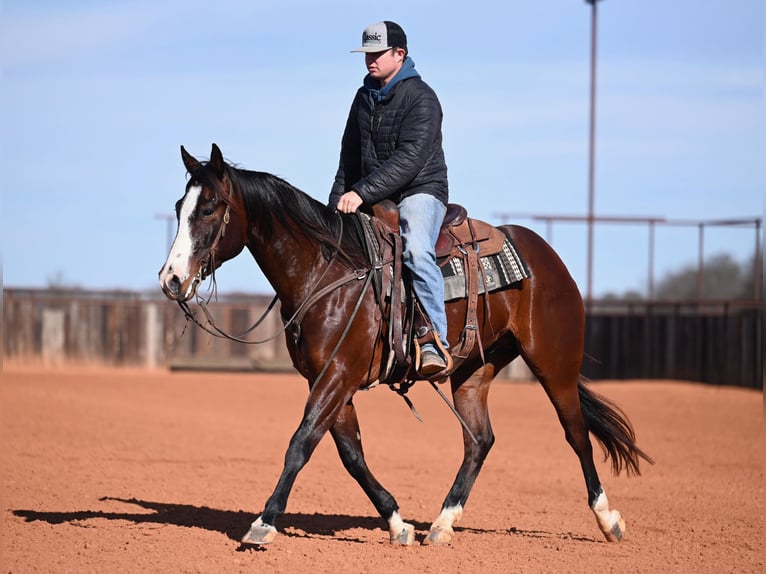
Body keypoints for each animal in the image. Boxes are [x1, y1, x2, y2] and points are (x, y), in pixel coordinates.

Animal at [159, 143, 653, 547]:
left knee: (576, 433)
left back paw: (608, 520)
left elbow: (301, 443)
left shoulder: (337, 375)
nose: (171, 279)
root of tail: (543, 254)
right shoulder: (331, 380)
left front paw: (263, 524)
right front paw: (398, 524)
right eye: (180, 206)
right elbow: (351, 454)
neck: (329, 269)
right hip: (474, 370)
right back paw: (441, 525)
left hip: (554, 362)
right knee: (480, 440)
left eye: (209, 209)